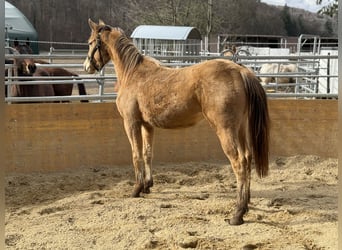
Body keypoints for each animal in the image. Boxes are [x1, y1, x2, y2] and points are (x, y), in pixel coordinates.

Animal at [83, 19, 270, 226]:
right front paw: (147, 185)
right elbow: (147, 153)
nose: (87, 66)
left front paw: (137, 188)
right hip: (241, 129)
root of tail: (240, 71)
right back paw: (246, 204)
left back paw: (237, 213)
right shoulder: (147, 125)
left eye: (90, 42)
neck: (133, 73)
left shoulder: (131, 123)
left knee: (239, 162)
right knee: (247, 157)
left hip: (226, 130)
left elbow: (136, 155)